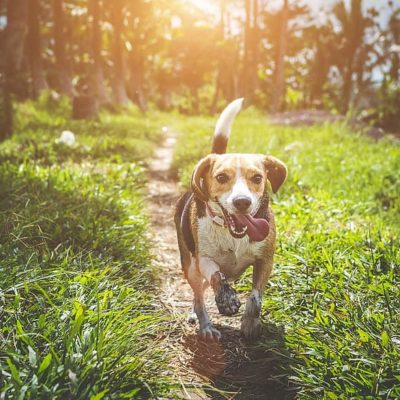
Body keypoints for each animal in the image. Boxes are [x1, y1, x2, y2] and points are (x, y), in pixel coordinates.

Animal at [175, 98, 288, 342]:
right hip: (190, 267)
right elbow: (217, 276)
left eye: (257, 178)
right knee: (199, 296)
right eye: (221, 177)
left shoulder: (265, 260)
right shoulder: (204, 259)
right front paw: (227, 300)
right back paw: (205, 325)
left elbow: (255, 297)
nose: (242, 202)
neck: (232, 234)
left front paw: (250, 324)